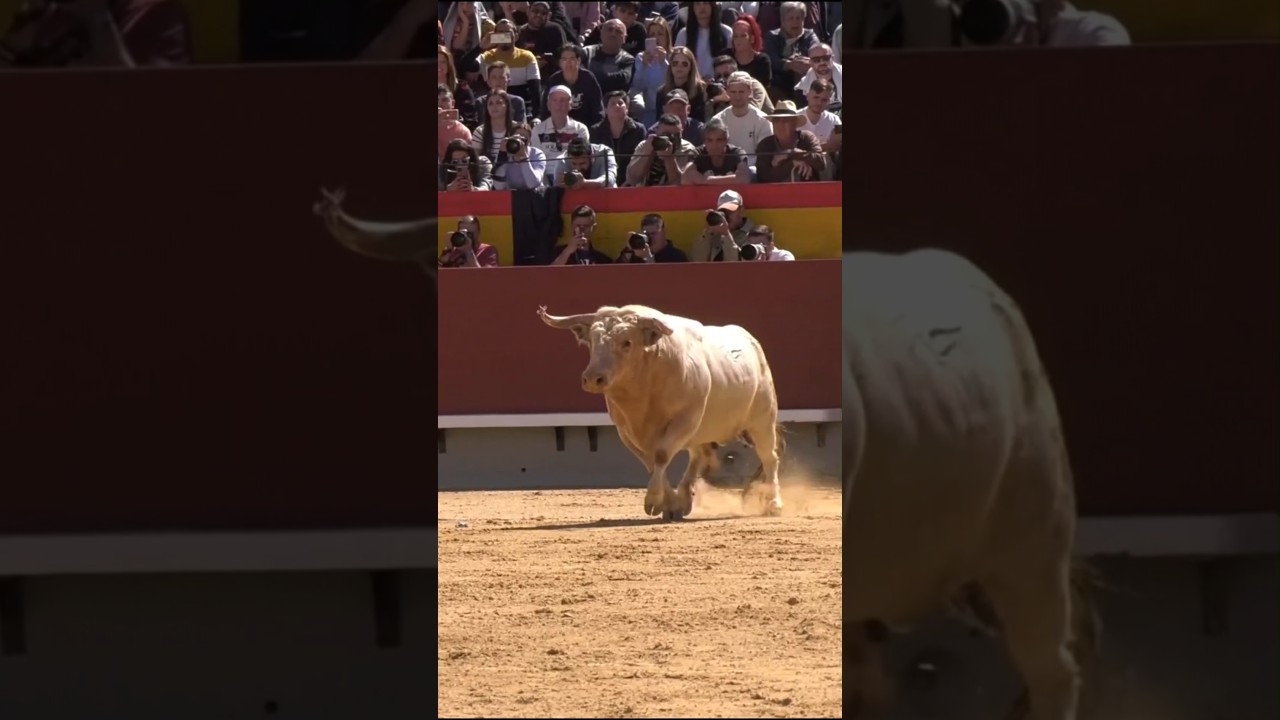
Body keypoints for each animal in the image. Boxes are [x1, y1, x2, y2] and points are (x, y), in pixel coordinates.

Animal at [538, 304, 784, 521]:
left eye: (627, 342)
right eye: (591, 341)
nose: (592, 379)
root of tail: (750, 341)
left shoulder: (685, 419)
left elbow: (661, 455)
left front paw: (654, 500)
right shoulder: (626, 430)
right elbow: (650, 461)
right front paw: (669, 504)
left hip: (762, 419)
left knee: (769, 457)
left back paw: (774, 504)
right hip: (702, 430)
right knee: (700, 455)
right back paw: (684, 498)